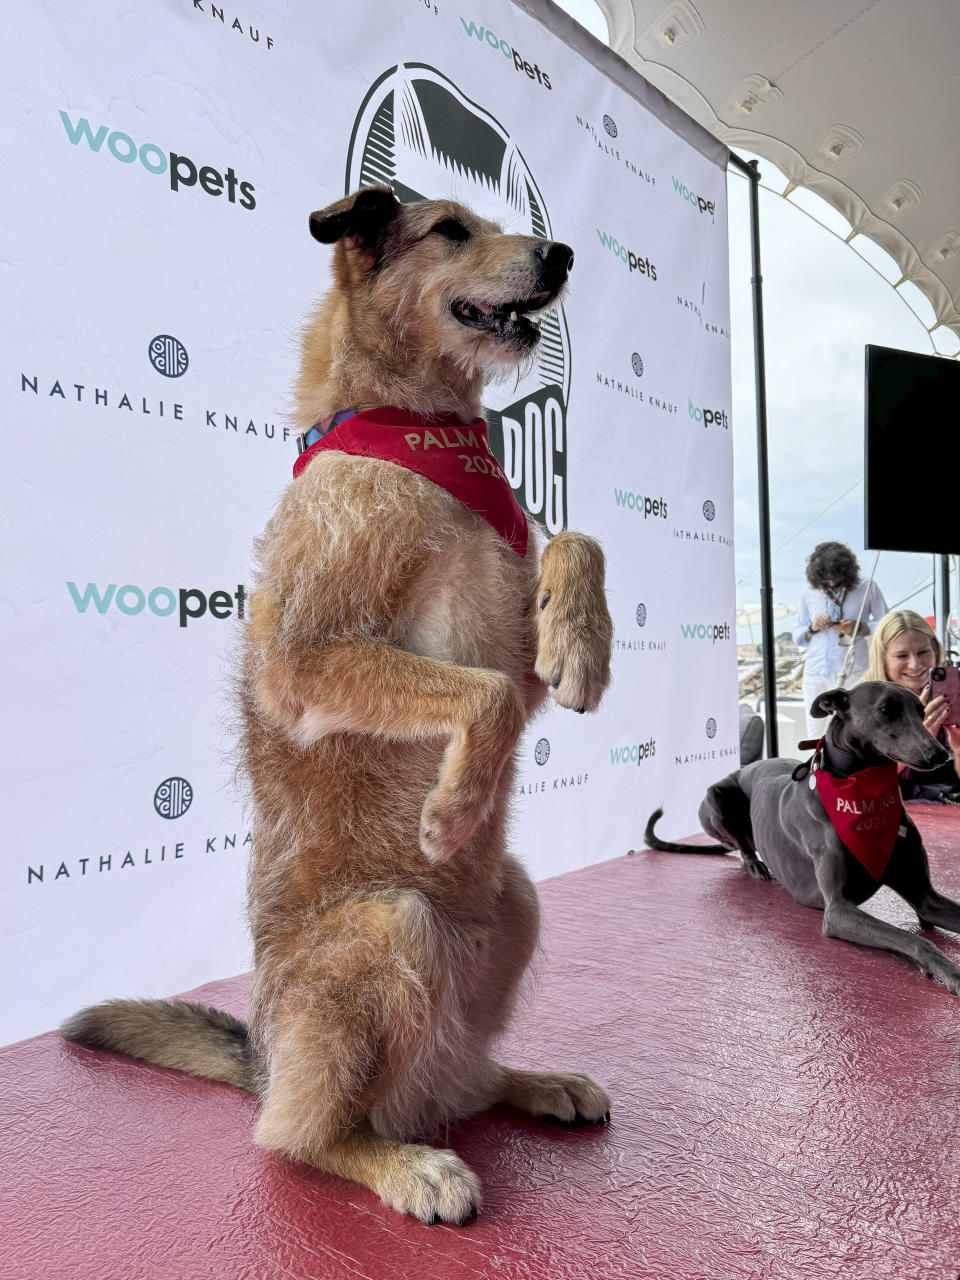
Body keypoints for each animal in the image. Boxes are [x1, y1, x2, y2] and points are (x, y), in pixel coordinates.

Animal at [60, 185, 616, 1223]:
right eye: (451, 230)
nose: (561, 254)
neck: (416, 429)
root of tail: (264, 1063)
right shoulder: (308, 663)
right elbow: (482, 694)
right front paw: (454, 806)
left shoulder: (511, 635)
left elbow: (576, 542)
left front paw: (582, 644)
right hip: (389, 926)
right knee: (303, 1136)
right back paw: (405, 1164)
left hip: (515, 902)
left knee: (458, 1081)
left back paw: (533, 1082)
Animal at [642, 686, 960, 993]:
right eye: (886, 709)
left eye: (921, 711)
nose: (941, 754)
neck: (860, 791)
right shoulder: (837, 911)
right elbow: (915, 939)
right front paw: (951, 972)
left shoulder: (925, 898)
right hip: (716, 796)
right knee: (742, 845)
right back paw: (755, 865)